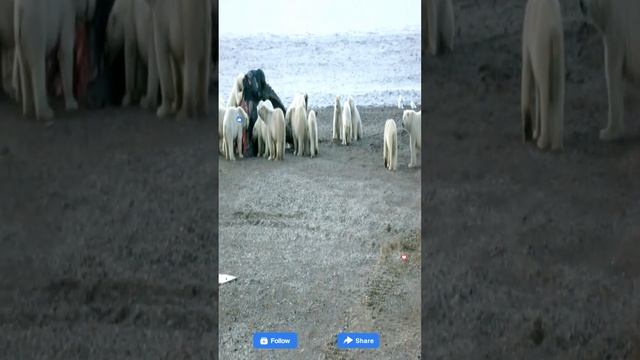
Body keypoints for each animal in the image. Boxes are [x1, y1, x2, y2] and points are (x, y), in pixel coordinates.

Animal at [520, 0, 564, 150]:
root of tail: (553, 30)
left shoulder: (528, 30)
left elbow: (526, 71)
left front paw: (528, 134)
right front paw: (534, 133)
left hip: (542, 44)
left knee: (545, 87)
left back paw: (542, 143)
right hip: (559, 47)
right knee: (558, 87)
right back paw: (556, 145)